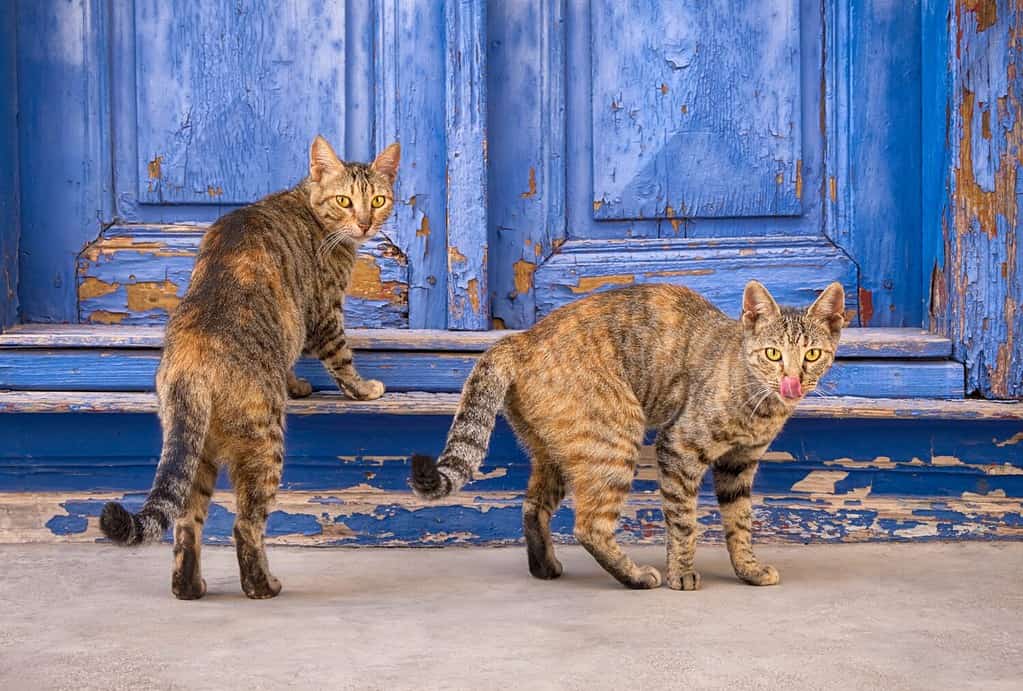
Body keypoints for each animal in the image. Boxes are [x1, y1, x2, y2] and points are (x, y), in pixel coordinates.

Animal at [97, 135, 396, 601]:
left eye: (378, 200)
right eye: (345, 201)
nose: (365, 224)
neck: (307, 206)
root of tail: (191, 364)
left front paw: (297, 383)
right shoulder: (324, 313)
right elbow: (341, 359)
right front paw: (363, 388)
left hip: (193, 452)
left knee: (186, 525)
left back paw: (190, 587)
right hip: (264, 443)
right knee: (245, 525)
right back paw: (263, 586)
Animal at [411, 280, 842, 589]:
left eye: (812, 355)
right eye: (773, 354)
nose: (793, 380)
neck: (759, 405)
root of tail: (521, 338)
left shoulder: (738, 466)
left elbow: (740, 524)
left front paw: (748, 569)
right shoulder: (679, 448)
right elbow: (684, 521)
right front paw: (681, 573)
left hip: (558, 452)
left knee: (533, 505)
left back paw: (546, 567)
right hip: (615, 438)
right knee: (590, 527)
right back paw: (635, 577)